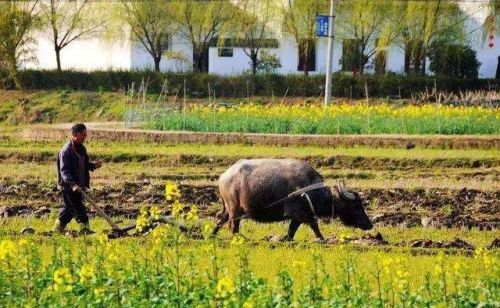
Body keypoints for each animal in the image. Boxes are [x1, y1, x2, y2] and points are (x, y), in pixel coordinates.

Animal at [213, 159, 374, 241]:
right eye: (356, 205)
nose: (369, 225)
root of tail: (223, 176)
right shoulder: (299, 213)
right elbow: (314, 225)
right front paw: (322, 239)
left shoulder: (297, 217)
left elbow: (292, 230)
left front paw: (285, 239)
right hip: (235, 207)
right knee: (233, 225)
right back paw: (241, 239)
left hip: (229, 207)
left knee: (220, 219)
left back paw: (212, 235)